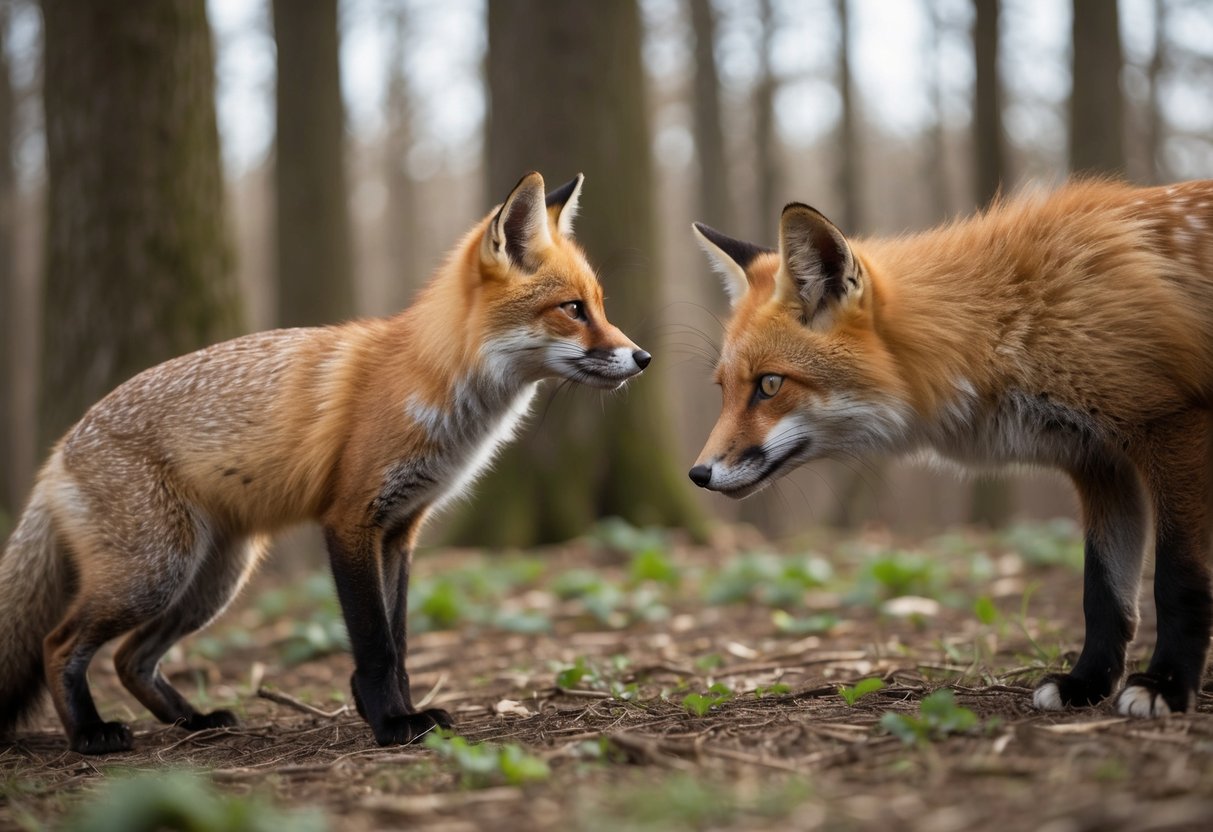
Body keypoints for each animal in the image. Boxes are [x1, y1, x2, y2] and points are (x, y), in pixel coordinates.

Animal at [0, 171, 651, 754]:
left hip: (211, 580)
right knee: (59, 644)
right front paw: (392, 725)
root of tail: (57, 453)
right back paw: (89, 735)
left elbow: (401, 641)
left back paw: (196, 721)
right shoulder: (350, 520)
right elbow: (375, 643)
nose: (643, 357)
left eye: (600, 306)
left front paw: (402, 713)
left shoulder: (401, 530)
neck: (438, 384)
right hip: (155, 573)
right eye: (573, 308)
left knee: (130, 658)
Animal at [688, 178, 1213, 718]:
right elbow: (1103, 593)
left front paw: (1167, 685)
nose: (698, 474)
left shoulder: (1172, 424)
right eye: (724, 390)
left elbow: (1176, 579)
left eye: (770, 385)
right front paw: (1086, 684)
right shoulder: (1098, 462)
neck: (1007, 322)